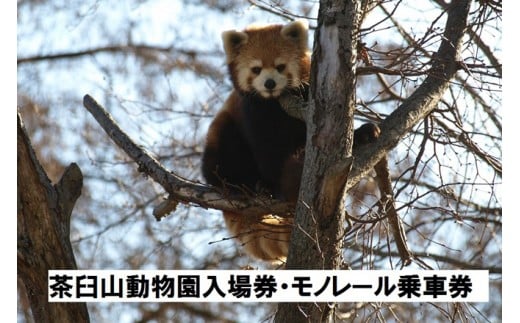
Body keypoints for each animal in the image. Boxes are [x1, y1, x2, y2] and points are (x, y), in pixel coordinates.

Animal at [202, 20, 378, 264]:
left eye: (280, 66)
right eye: (256, 69)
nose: (269, 83)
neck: (274, 104)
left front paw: (362, 134)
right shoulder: (253, 114)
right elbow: (267, 151)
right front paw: (272, 185)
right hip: (222, 135)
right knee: (222, 151)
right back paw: (238, 185)